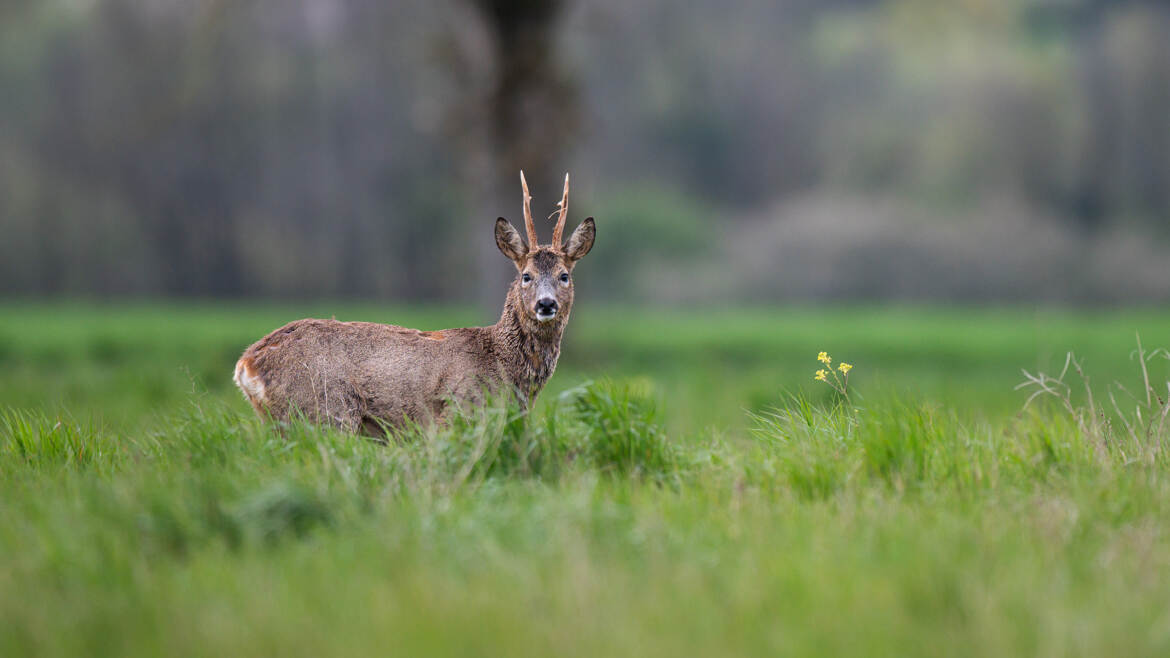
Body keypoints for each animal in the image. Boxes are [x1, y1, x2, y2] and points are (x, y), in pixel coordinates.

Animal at [231, 172, 594, 433]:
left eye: (564, 275)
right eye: (526, 276)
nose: (545, 305)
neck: (503, 366)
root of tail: (246, 364)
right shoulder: (457, 410)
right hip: (327, 410)